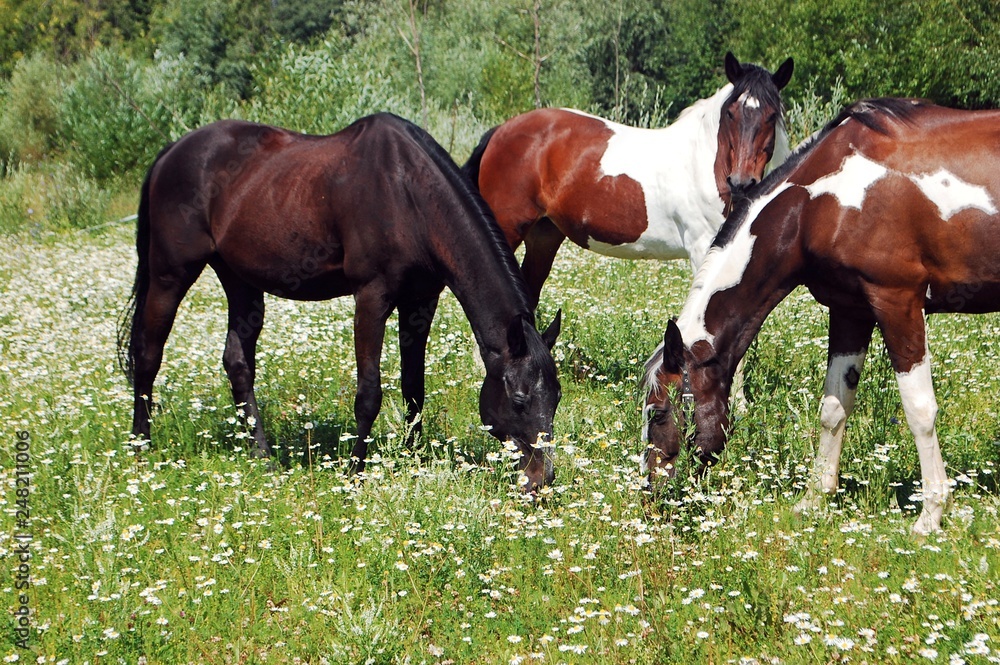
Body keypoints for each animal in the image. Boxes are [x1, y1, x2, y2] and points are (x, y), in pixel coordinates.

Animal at [117, 111, 564, 490]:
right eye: (520, 400)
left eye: (557, 397)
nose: (541, 480)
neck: (407, 192)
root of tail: (172, 152)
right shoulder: (372, 296)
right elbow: (369, 393)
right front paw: (355, 471)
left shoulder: (420, 300)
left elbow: (413, 385)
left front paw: (414, 456)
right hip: (170, 275)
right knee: (148, 353)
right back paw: (141, 446)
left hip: (240, 280)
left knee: (237, 362)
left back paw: (260, 452)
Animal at [462, 52, 796, 308]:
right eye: (730, 113)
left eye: (771, 115)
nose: (740, 183)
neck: (703, 164)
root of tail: (501, 131)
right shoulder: (704, 249)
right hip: (508, 228)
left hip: (543, 236)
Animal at [644, 97, 1000, 536]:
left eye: (660, 413)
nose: (651, 496)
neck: (822, 203)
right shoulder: (850, 310)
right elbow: (834, 407)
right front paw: (814, 498)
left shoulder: (897, 302)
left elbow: (919, 410)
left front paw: (931, 514)